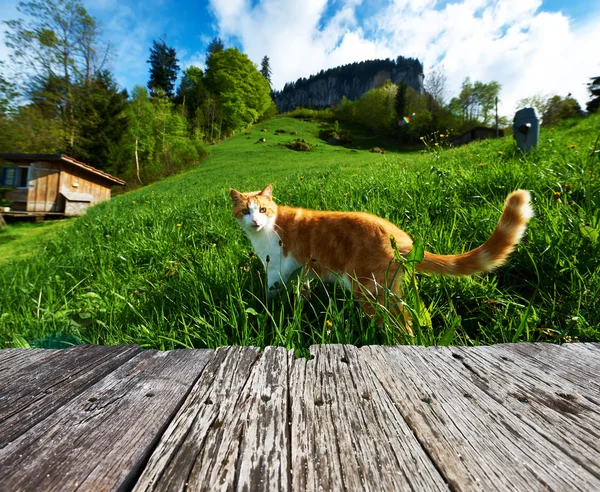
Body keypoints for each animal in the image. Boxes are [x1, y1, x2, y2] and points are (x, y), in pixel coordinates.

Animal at [229, 184, 528, 326]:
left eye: (263, 210)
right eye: (246, 211)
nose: (255, 221)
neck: (271, 226)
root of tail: (399, 237)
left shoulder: (276, 269)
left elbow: (270, 293)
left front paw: (269, 309)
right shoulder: (303, 272)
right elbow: (303, 290)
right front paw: (300, 304)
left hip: (369, 291)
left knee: (400, 325)